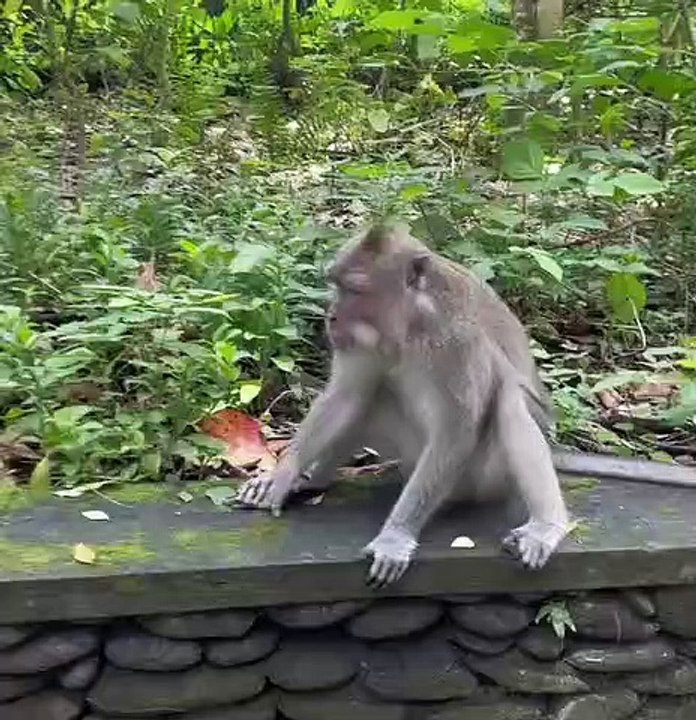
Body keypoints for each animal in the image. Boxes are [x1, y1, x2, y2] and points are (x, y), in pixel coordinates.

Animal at [235, 221, 696, 586]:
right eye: (335, 284)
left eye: (354, 289)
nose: (330, 317)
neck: (411, 325)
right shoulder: (363, 343)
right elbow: (347, 395)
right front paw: (284, 472)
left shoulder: (458, 340)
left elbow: (458, 428)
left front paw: (395, 536)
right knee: (374, 396)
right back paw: (313, 481)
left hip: (481, 477)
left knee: (507, 402)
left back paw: (547, 525)